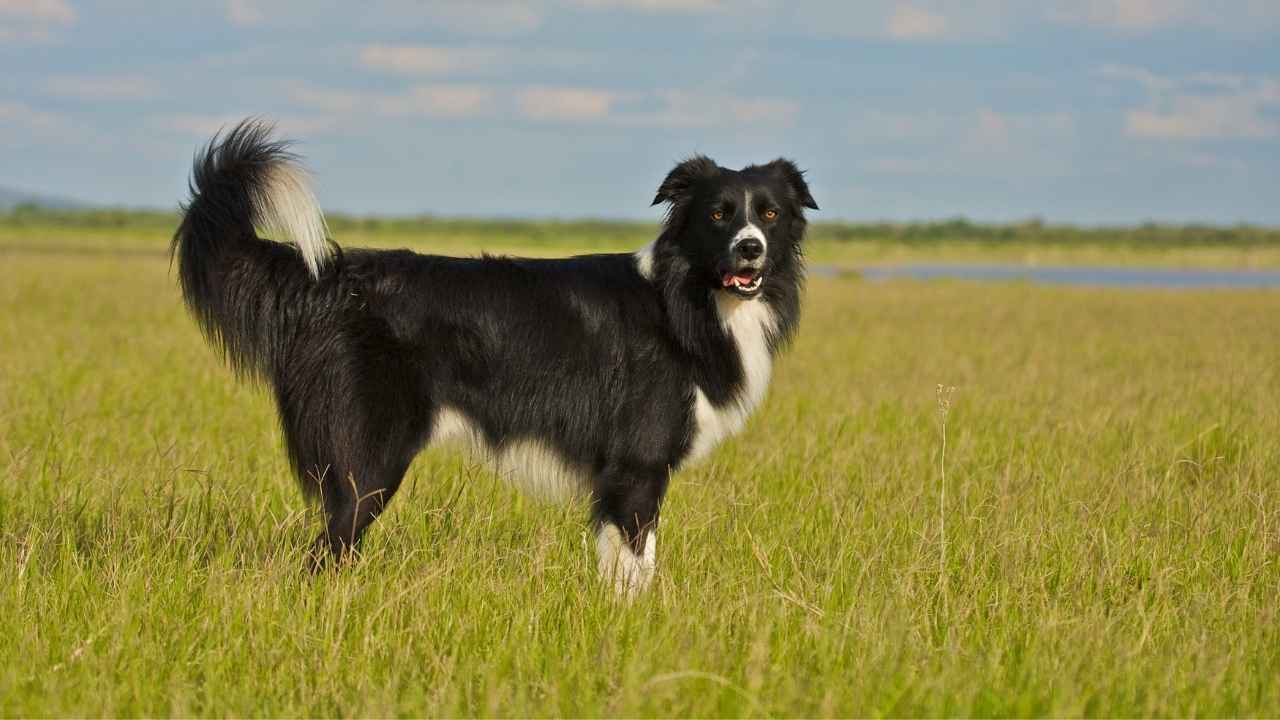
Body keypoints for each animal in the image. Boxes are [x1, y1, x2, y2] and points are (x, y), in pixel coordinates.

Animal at [172, 119, 819, 594]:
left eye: (769, 214)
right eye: (717, 214)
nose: (750, 250)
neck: (686, 298)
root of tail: (326, 279)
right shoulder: (637, 470)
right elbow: (637, 571)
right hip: (368, 467)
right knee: (324, 554)